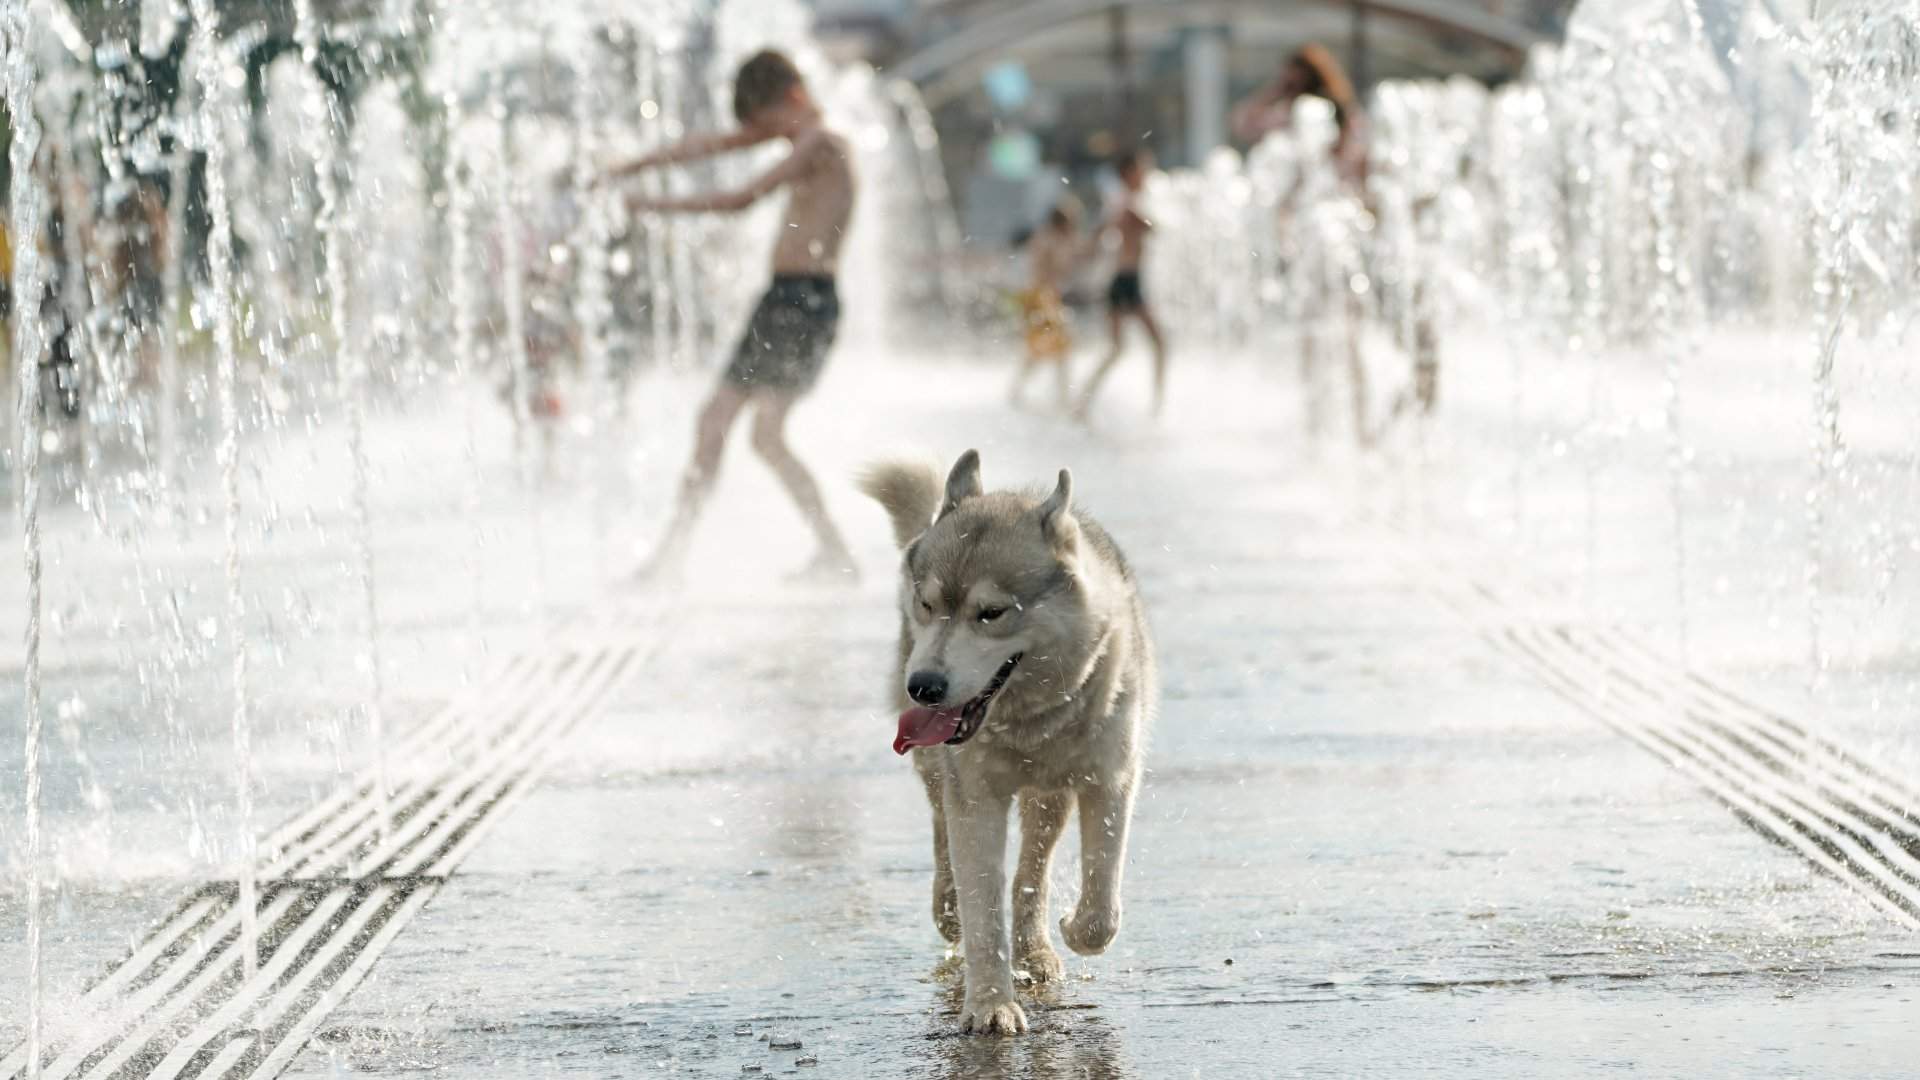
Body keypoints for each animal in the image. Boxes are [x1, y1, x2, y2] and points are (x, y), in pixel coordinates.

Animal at [867, 447, 1159, 1037]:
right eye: (928, 604)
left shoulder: (1111, 782)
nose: (923, 686)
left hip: (1050, 796)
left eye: (992, 612)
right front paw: (989, 1005)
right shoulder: (976, 797)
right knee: (944, 834)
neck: (1031, 720)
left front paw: (1074, 929)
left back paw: (1037, 948)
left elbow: (1101, 907)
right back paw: (949, 906)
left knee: (1033, 871)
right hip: (940, 771)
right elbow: (982, 909)